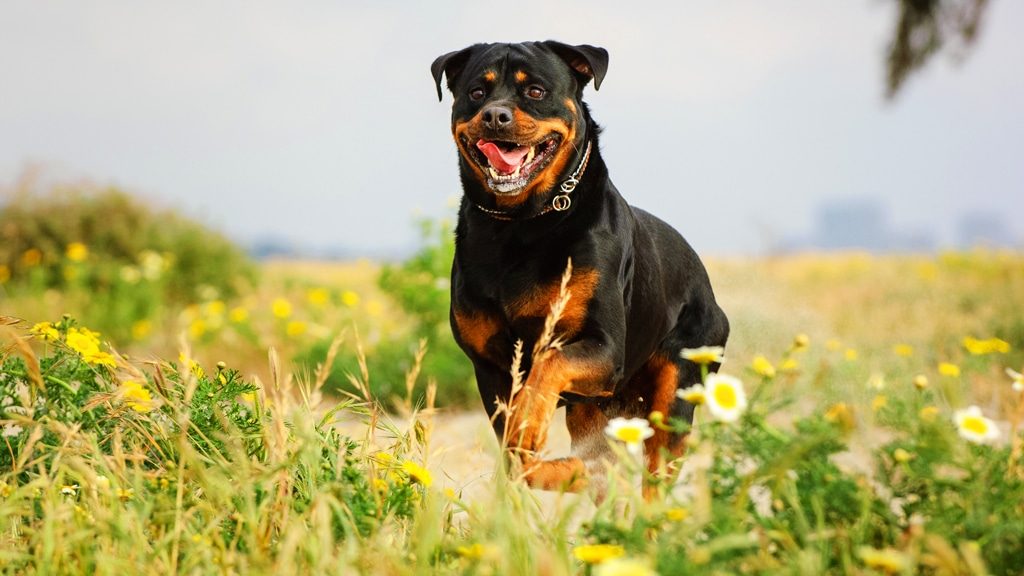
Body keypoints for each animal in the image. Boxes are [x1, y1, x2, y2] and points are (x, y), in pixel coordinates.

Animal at [430, 40, 729, 491]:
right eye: (477, 93)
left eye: (535, 91)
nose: (495, 115)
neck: (520, 224)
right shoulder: (490, 369)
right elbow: (516, 454)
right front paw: (557, 467)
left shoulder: (603, 347)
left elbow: (550, 366)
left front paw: (537, 433)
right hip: (593, 408)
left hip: (676, 392)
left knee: (655, 475)